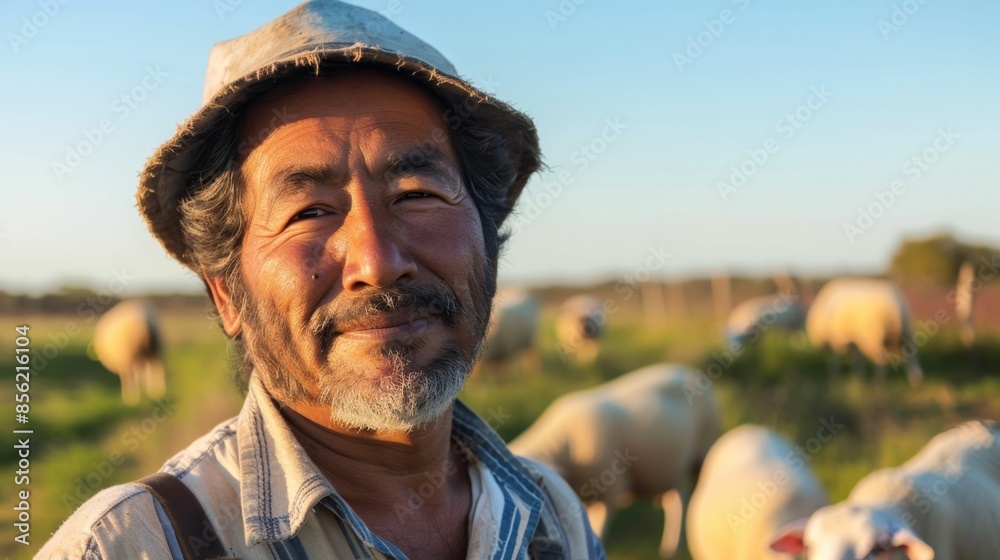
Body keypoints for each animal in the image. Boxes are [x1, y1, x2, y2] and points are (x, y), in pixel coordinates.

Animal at [508, 364, 720, 556]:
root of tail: (687, 369)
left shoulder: (611, 489)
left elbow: (600, 531)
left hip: (701, 453)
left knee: (686, 499)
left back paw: (675, 546)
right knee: (675, 499)